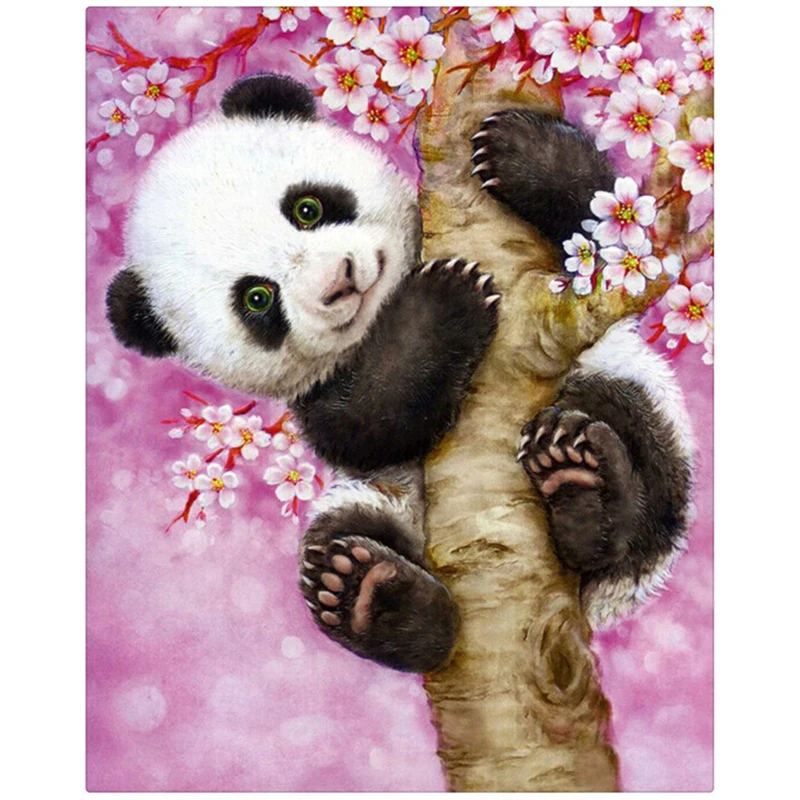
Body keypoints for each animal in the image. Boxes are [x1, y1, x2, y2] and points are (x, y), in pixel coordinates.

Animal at [106, 74, 693, 674]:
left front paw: (518, 149)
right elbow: (369, 424)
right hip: (377, 507)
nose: (339, 281)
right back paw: (377, 599)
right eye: (257, 298)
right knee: (339, 542)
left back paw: (583, 488)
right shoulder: (317, 395)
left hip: (638, 405)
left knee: (632, 442)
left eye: (307, 208)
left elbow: (612, 232)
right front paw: (442, 302)